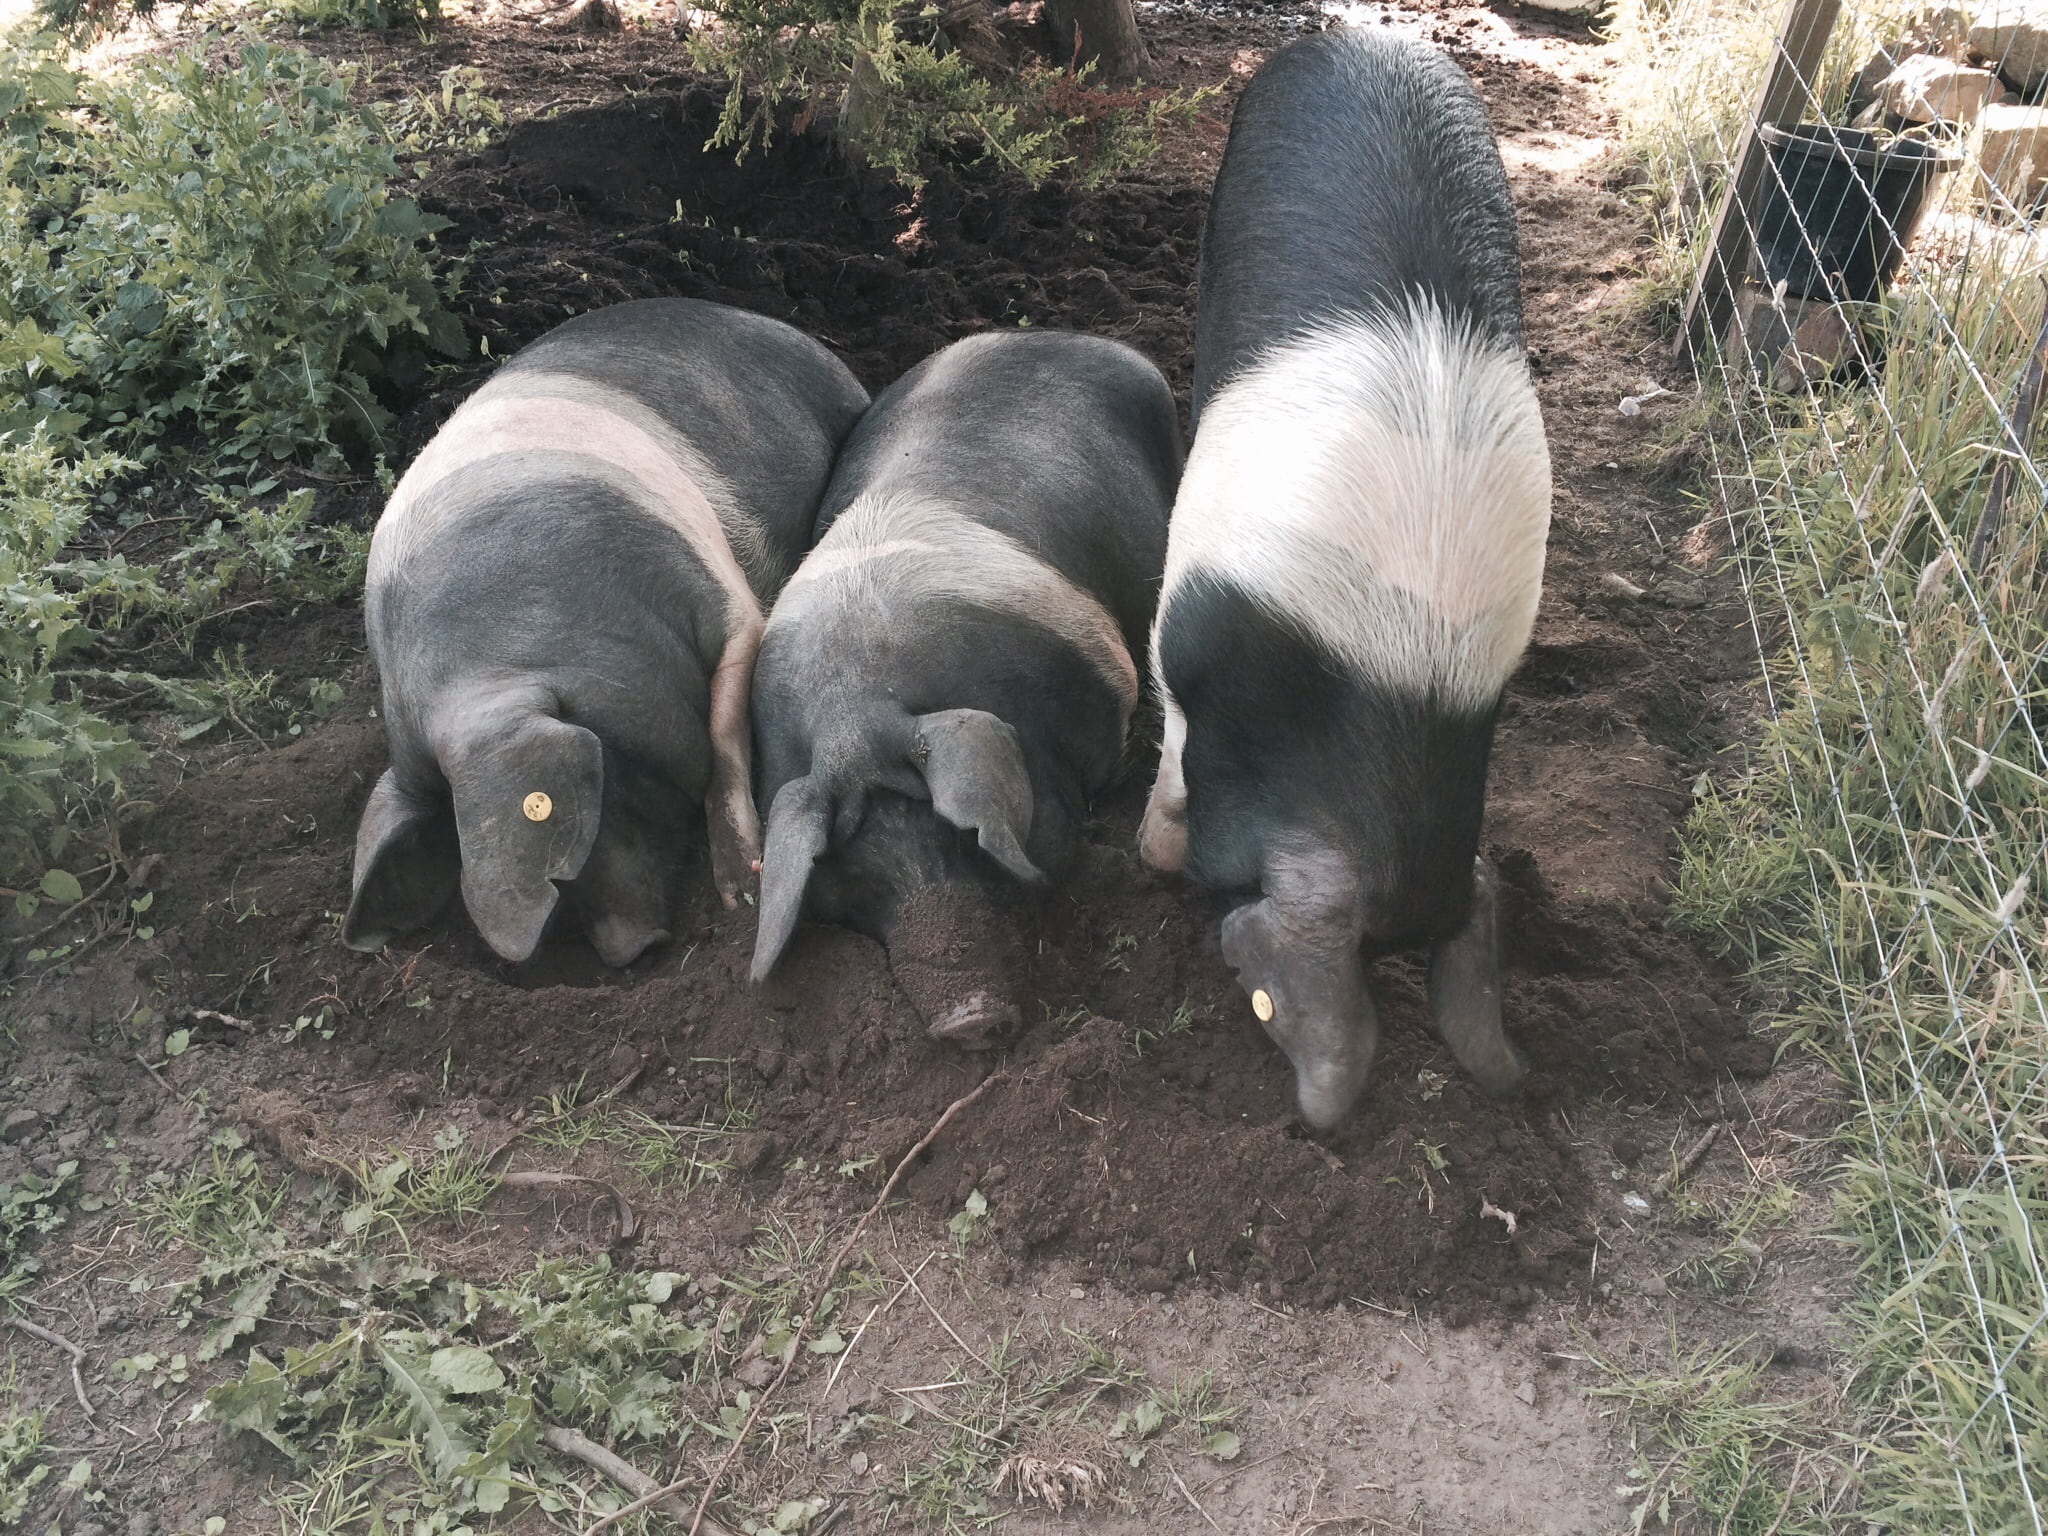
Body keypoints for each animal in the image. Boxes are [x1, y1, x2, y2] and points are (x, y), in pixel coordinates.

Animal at [342, 298, 869, 968]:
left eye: (604, 777)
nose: (632, 952)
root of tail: (770, 321)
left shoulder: (728, 605)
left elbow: (724, 736)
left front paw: (737, 894)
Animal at [1139, 30, 1551, 1128]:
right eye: (1267, 1002)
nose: (1313, 1120)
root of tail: (1371, 36)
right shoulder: (1179, 631)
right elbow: (1171, 746)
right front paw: (1153, 854)